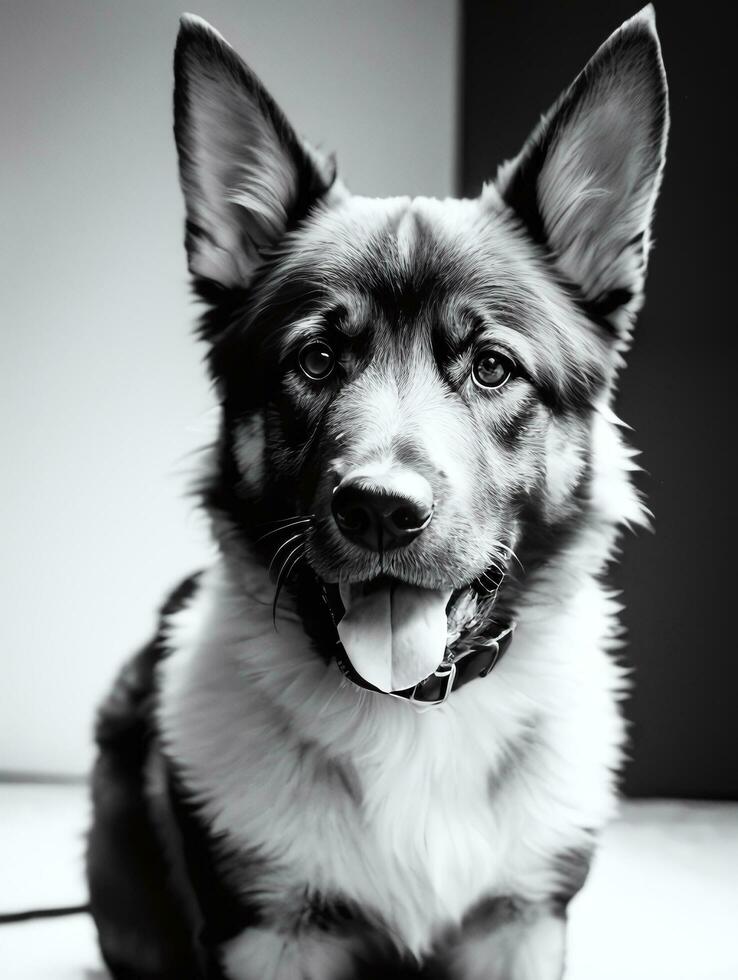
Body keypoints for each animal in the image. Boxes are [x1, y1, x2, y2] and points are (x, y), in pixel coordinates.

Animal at [86, 7, 668, 980]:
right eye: (317, 360)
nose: (380, 512)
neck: (410, 715)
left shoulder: (522, 924)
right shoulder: (271, 938)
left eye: (492, 366)